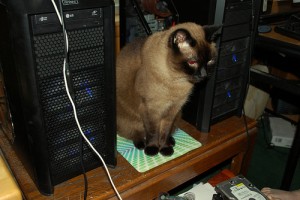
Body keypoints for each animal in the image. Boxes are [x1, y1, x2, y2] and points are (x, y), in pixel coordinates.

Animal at [117, 21, 220, 156]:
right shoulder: (152, 110)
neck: (177, 80)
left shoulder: (172, 110)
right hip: (130, 122)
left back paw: (171, 141)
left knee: (169, 131)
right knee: (136, 134)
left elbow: (164, 132)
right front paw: (153, 149)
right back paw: (141, 144)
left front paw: (165, 148)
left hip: (178, 115)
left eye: (210, 61)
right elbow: (153, 132)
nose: (204, 75)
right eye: (192, 62)